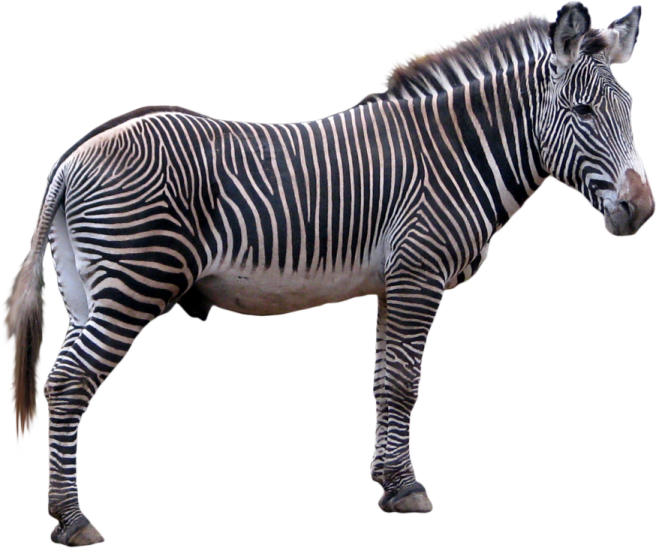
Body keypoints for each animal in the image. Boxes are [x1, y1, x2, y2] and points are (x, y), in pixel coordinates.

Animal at [2, 1, 652, 544]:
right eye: (583, 111)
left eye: (630, 111)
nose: (642, 211)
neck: (457, 153)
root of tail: (73, 154)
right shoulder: (419, 273)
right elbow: (405, 383)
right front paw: (408, 491)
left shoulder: (395, 280)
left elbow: (384, 381)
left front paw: (389, 481)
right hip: (133, 283)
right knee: (68, 382)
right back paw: (74, 521)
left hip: (86, 289)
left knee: (62, 380)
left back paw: (63, 512)